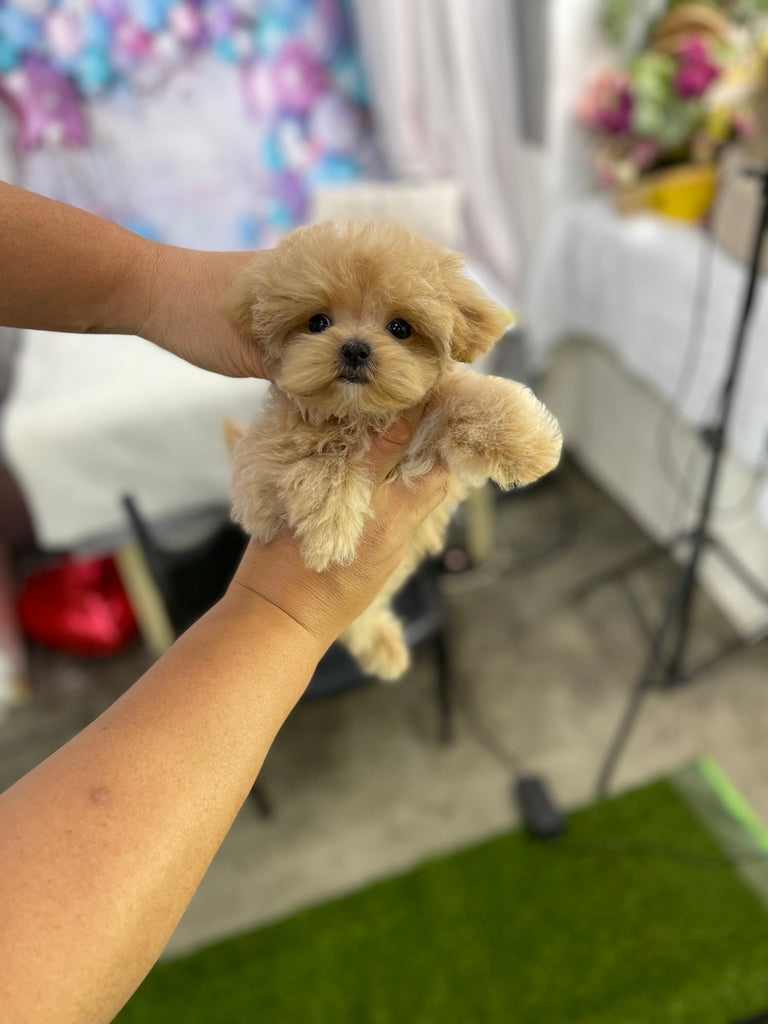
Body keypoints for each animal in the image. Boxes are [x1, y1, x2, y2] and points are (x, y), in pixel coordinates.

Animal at [225, 218, 561, 679]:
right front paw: (330, 526)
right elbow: (317, 461)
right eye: (317, 322)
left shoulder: (429, 421)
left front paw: (531, 445)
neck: (362, 417)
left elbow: (472, 396)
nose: (354, 347)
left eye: (400, 328)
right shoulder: (259, 478)